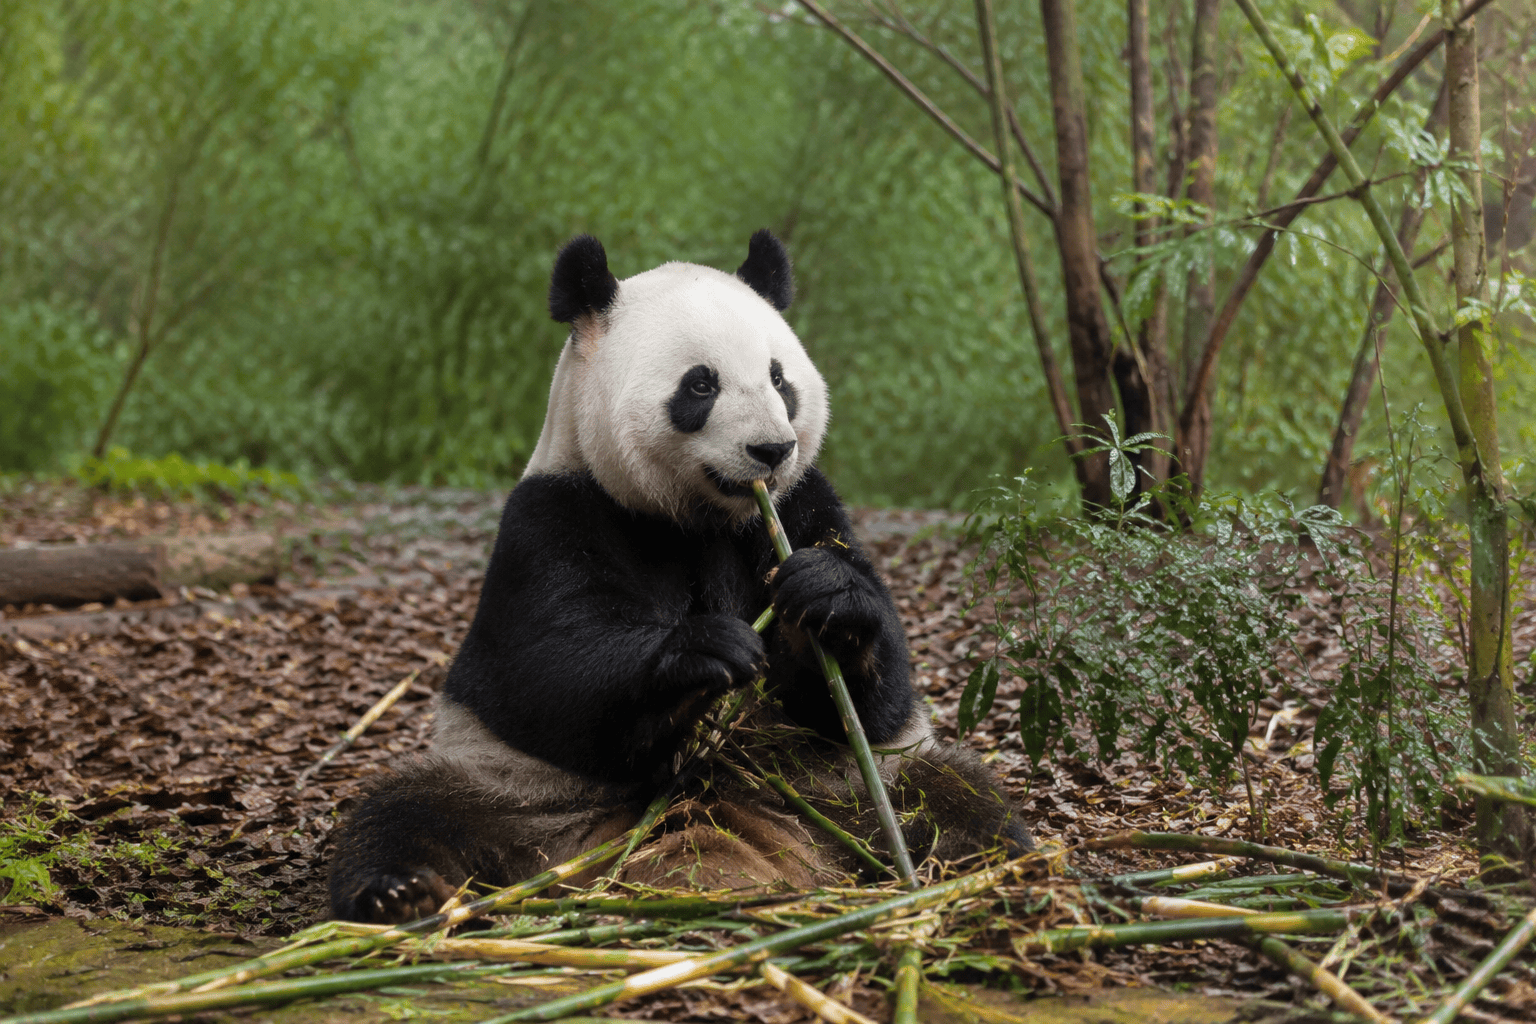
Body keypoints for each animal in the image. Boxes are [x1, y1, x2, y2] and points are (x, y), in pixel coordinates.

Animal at [328, 230, 1031, 924]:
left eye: (780, 377)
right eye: (700, 385)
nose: (771, 451)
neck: (701, 519)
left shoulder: (804, 503)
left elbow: (867, 700)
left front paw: (826, 597)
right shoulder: (553, 515)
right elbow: (550, 667)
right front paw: (705, 650)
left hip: (844, 783)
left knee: (954, 794)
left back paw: (985, 866)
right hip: (520, 793)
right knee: (406, 810)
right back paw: (401, 893)